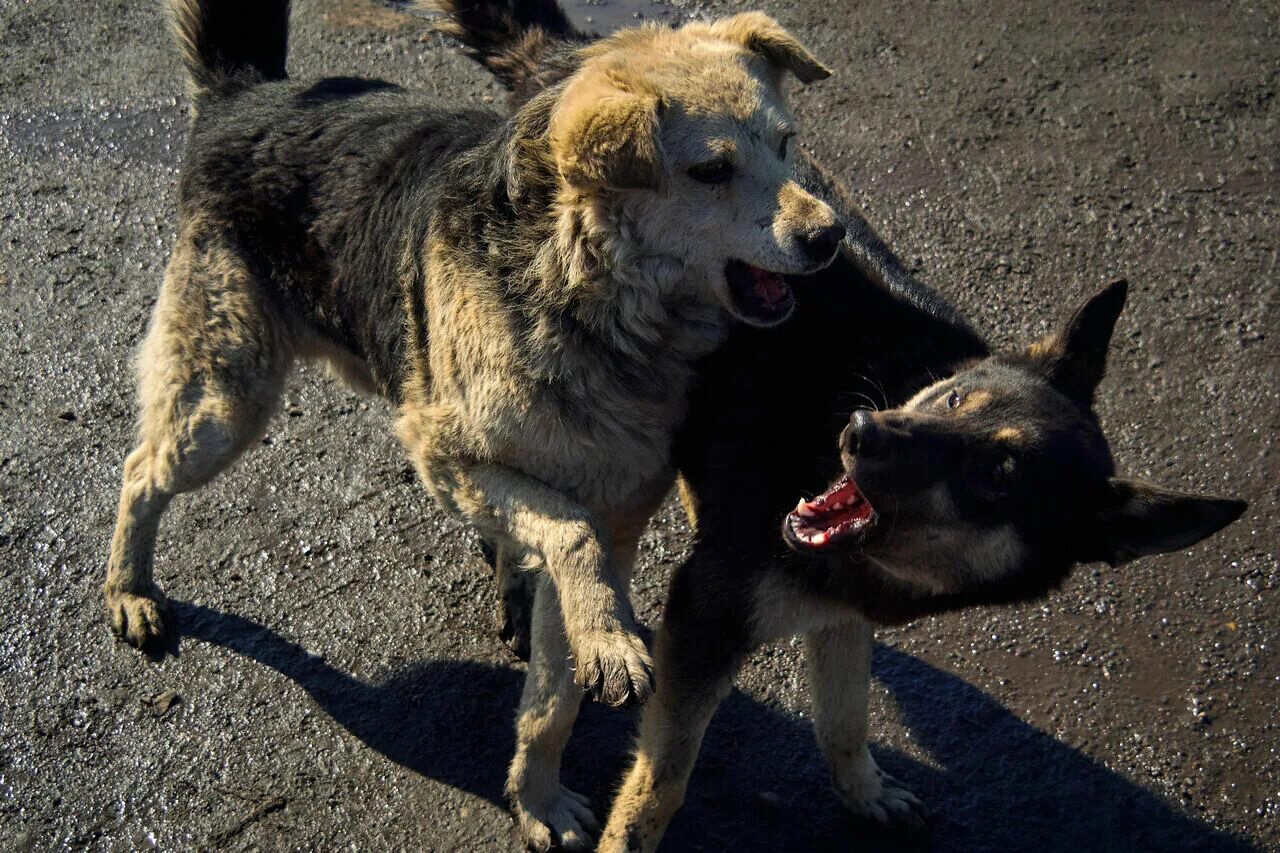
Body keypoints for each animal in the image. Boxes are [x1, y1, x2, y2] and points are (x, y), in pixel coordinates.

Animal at [102, 0, 839, 845]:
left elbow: (555, 694)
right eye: (710, 172)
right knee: (139, 471)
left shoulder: (613, 511)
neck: (582, 289)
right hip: (225, 401)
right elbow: (568, 532)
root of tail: (244, 93)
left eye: (786, 144)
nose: (830, 236)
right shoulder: (448, 457)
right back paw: (127, 588)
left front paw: (540, 789)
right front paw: (607, 643)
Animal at [432, 3, 1249, 845]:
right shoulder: (705, 615)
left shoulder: (842, 616)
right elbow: (661, 781)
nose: (858, 431)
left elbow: (847, 715)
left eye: (999, 476)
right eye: (952, 399)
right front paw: (628, 833)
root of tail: (581, 58)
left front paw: (863, 790)